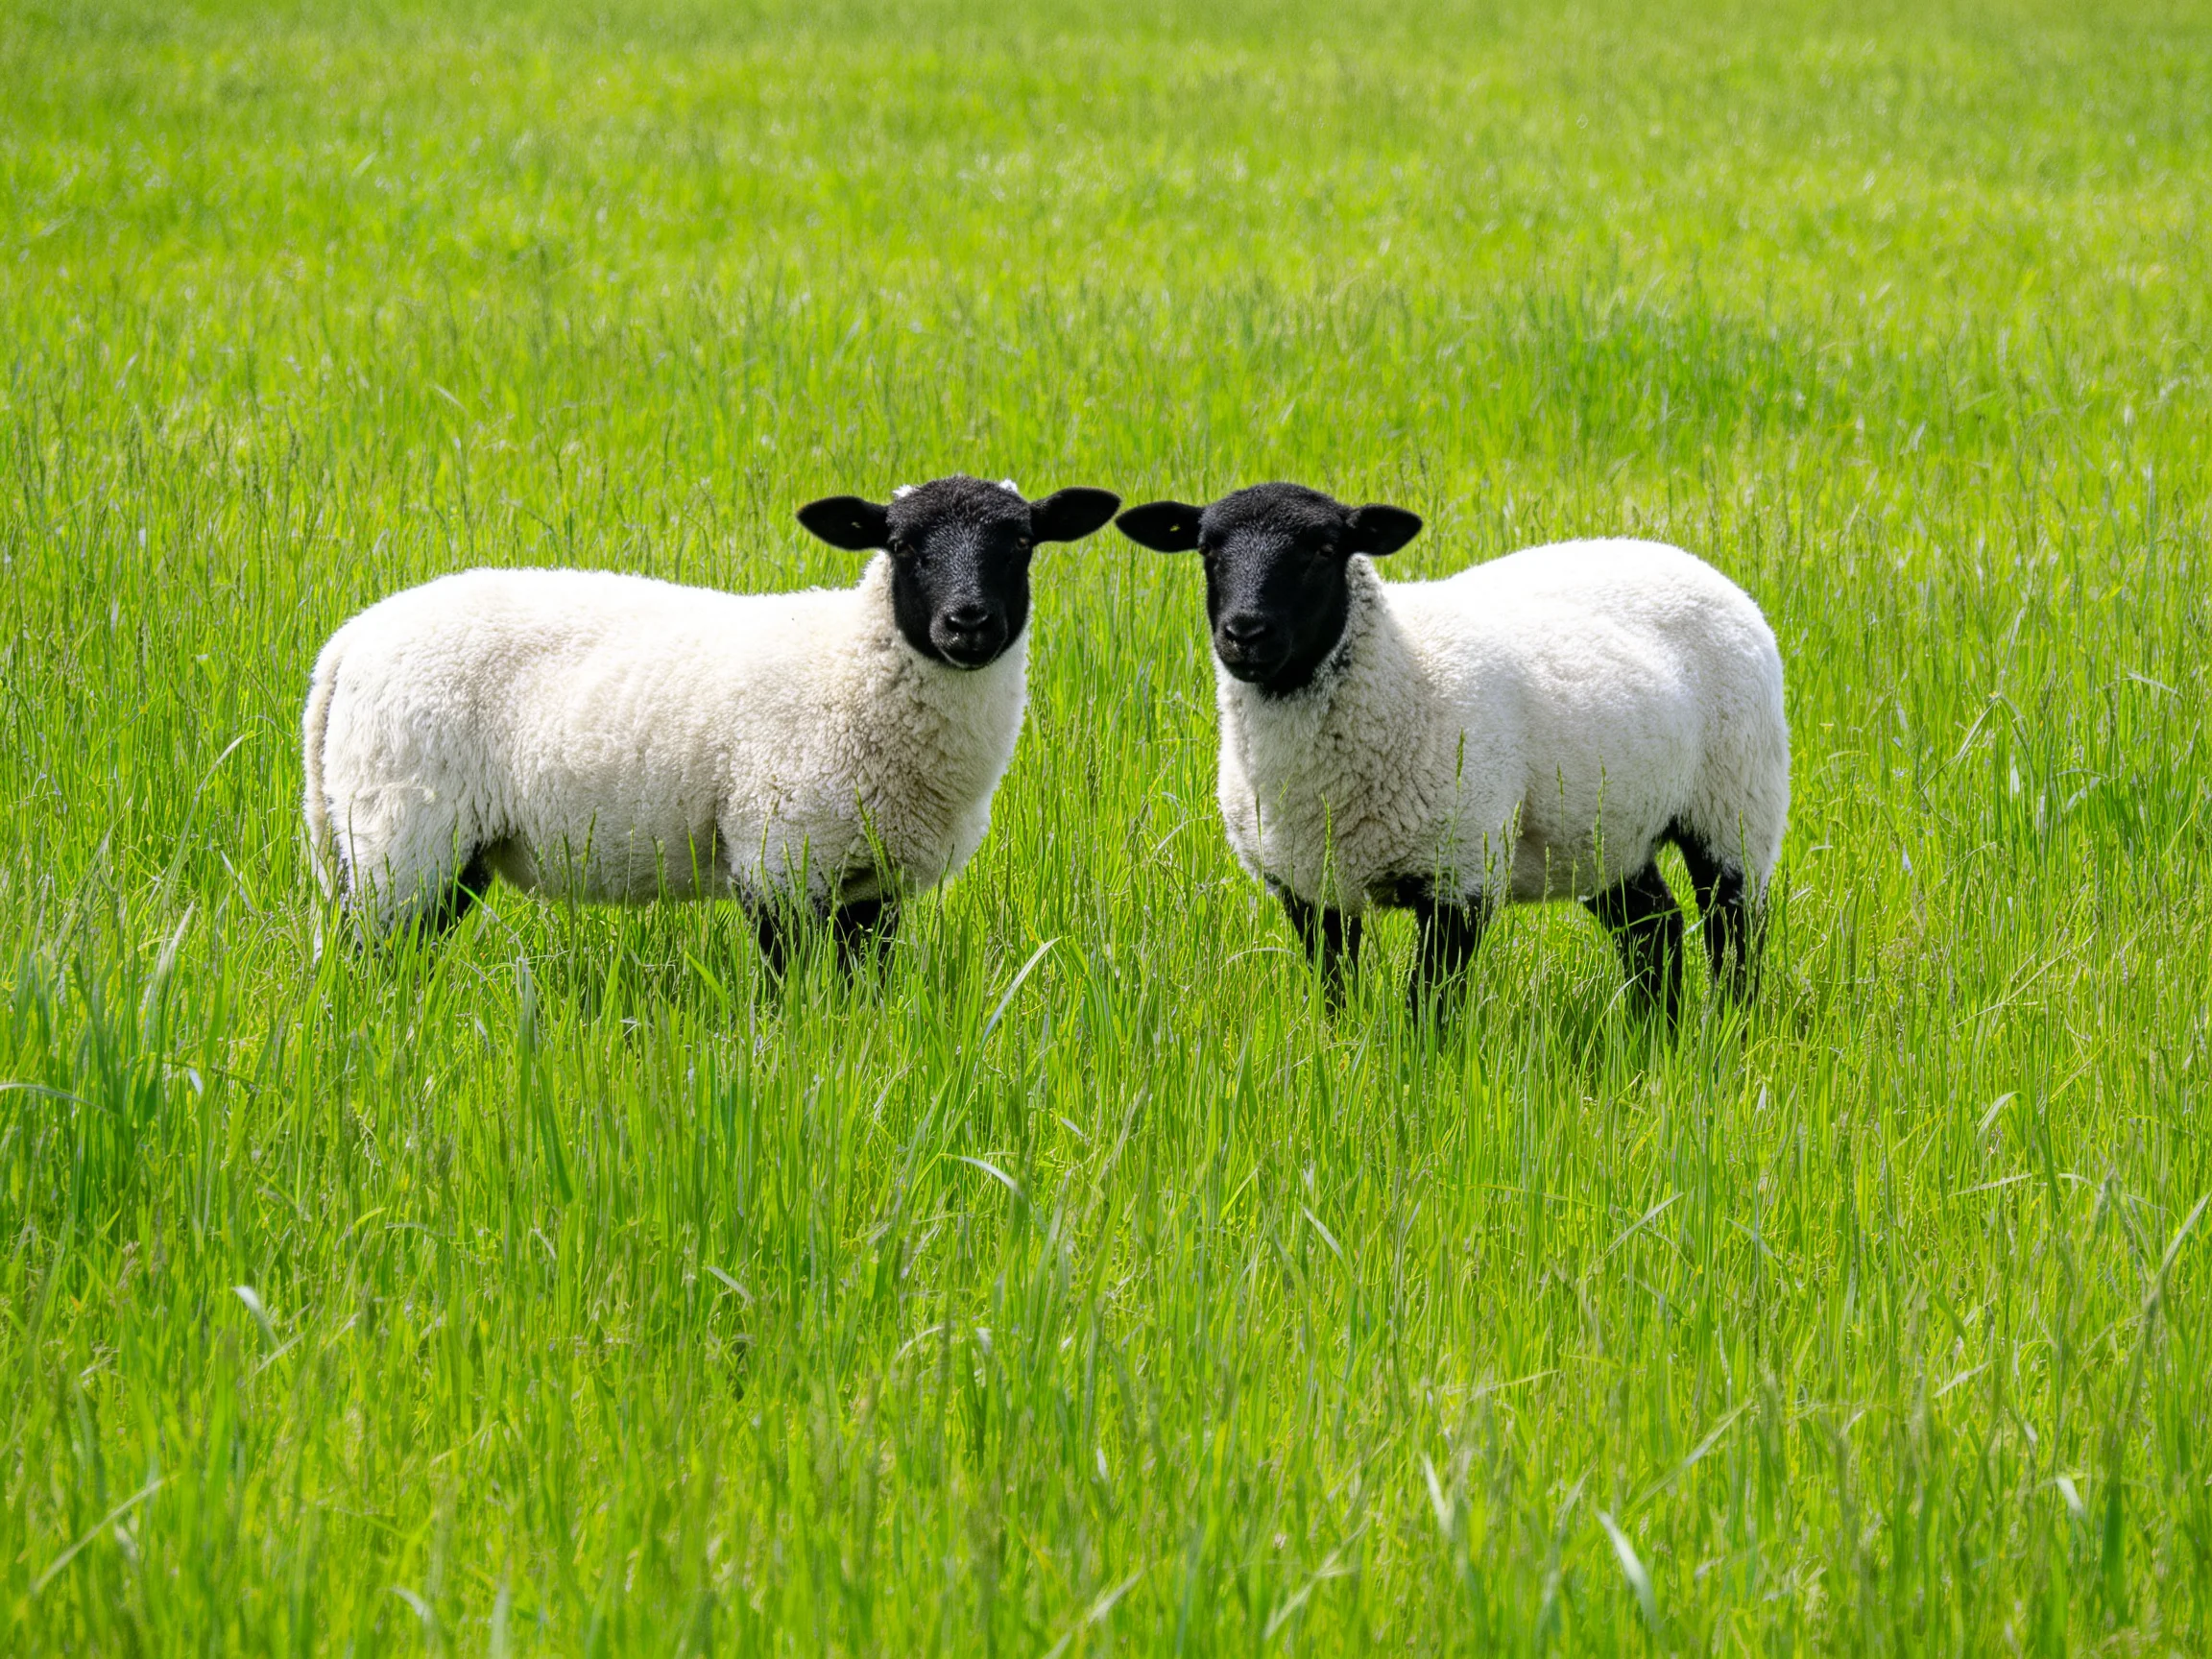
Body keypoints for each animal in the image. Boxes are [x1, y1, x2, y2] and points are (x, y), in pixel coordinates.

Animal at [302, 475, 1121, 972]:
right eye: (903, 546)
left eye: (1022, 543)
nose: (968, 623)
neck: (850, 668)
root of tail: (349, 643)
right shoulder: (781, 856)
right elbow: (792, 996)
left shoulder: (872, 885)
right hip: (405, 832)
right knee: (372, 958)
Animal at [1115, 483, 1789, 1017]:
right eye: (1207, 550)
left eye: (1325, 550)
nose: (1245, 633)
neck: (1403, 669)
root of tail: (1683, 557)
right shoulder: (1309, 888)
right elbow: (1336, 997)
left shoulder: (1459, 874)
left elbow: (1428, 1005)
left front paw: (1415, 1081)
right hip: (1607, 828)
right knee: (1654, 927)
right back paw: (1655, 1036)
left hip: (1736, 800)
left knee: (1734, 932)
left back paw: (1728, 1031)